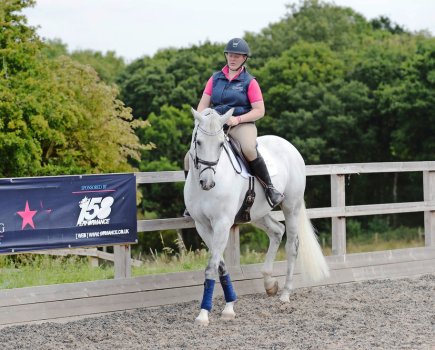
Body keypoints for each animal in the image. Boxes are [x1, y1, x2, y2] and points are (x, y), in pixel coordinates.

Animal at [184, 107, 330, 326]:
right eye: (198, 142)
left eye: (221, 144)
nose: (207, 182)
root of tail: (289, 146)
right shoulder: (203, 226)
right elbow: (220, 265)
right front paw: (229, 305)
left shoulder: (222, 224)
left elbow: (212, 267)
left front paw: (204, 314)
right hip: (257, 213)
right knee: (277, 231)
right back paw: (269, 283)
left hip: (291, 207)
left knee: (292, 245)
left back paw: (285, 294)